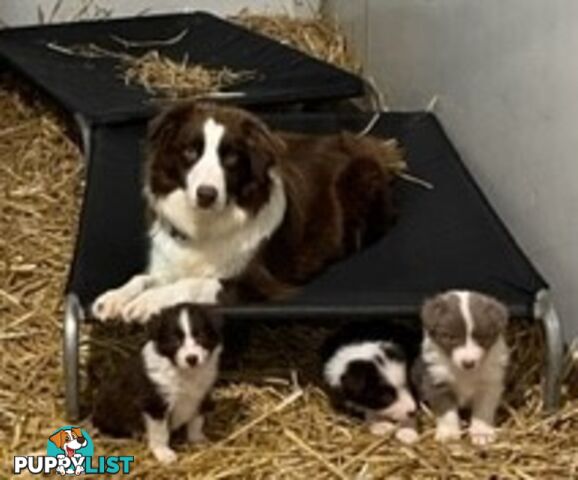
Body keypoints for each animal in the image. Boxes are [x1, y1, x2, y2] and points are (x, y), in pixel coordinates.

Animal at [91, 102, 400, 322]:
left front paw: (148, 301)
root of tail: (354, 142)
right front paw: (117, 296)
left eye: (231, 158)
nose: (206, 194)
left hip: (361, 179)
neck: (205, 224)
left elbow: (191, 284)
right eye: (190, 152)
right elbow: (144, 278)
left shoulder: (254, 285)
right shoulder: (170, 263)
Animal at [93, 304, 222, 464]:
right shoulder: (155, 403)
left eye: (201, 337)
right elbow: (160, 432)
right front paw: (164, 453)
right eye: (175, 341)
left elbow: (196, 421)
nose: (192, 358)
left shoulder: (200, 396)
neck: (183, 373)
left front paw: (197, 440)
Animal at [412, 288, 506, 446]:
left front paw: (482, 432)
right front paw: (449, 433)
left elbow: (483, 410)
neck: (464, 373)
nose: (468, 363)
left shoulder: (489, 383)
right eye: (450, 337)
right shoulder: (437, 381)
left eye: (482, 338)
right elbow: (447, 411)